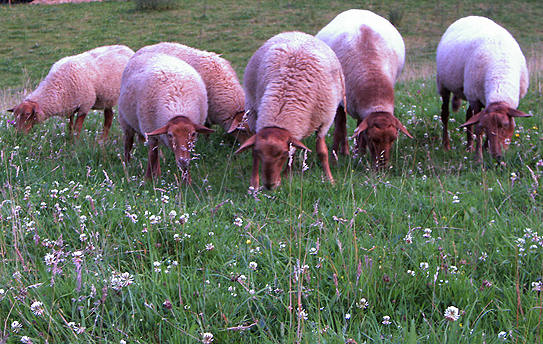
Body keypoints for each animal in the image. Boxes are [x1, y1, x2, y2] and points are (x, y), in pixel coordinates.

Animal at [118, 52, 215, 181]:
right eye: (170, 135)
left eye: (193, 134)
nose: (183, 160)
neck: (178, 106)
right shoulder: (149, 129)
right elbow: (152, 154)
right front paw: (148, 179)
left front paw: (187, 182)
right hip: (126, 120)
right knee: (129, 142)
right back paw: (127, 164)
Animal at [237, 30, 346, 189]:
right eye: (260, 152)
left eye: (283, 154)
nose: (269, 185)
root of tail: (295, 32)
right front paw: (255, 184)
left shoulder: (324, 121)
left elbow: (321, 152)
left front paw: (329, 180)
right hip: (252, 111)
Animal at [314, 8, 412, 169]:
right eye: (373, 139)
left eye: (393, 139)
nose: (382, 167)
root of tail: (357, 10)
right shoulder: (340, 102)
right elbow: (339, 131)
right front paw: (334, 160)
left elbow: (360, 131)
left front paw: (360, 155)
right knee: (343, 127)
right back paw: (345, 151)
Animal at [436, 15, 532, 161]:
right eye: (485, 127)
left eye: (505, 125)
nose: (497, 156)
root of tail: (470, 16)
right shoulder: (476, 99)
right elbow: (478, 130)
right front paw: (478, 157)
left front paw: (485, 150)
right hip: (444, 85)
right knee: (445, 114)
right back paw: (446, 146)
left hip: (471, 92)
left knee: (468, 115)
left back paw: (469, 147)